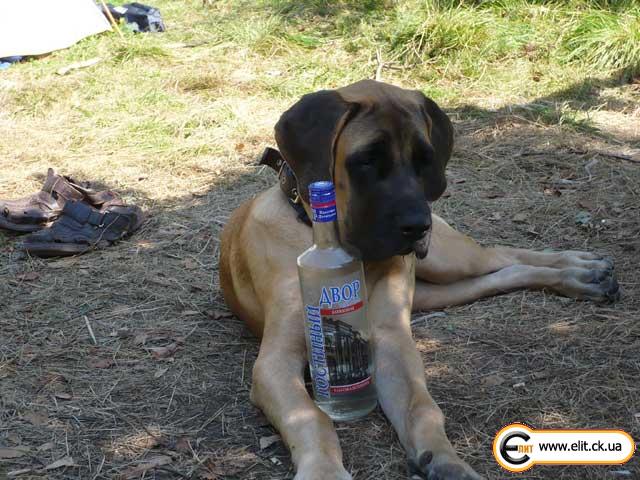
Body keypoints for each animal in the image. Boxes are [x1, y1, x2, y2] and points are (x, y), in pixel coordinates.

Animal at [219, 80, 619, 480]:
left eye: (425, 160)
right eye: (367, 160)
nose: (417, 226)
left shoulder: (390, 341)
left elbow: (421, 407)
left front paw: (447, 460)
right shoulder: (276, 361)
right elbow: (310, 416)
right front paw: (324, 471)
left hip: (446, 259)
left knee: (500, 254)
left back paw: (581, 269)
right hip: (436, 289)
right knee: (500, 273)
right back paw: (581, 277)